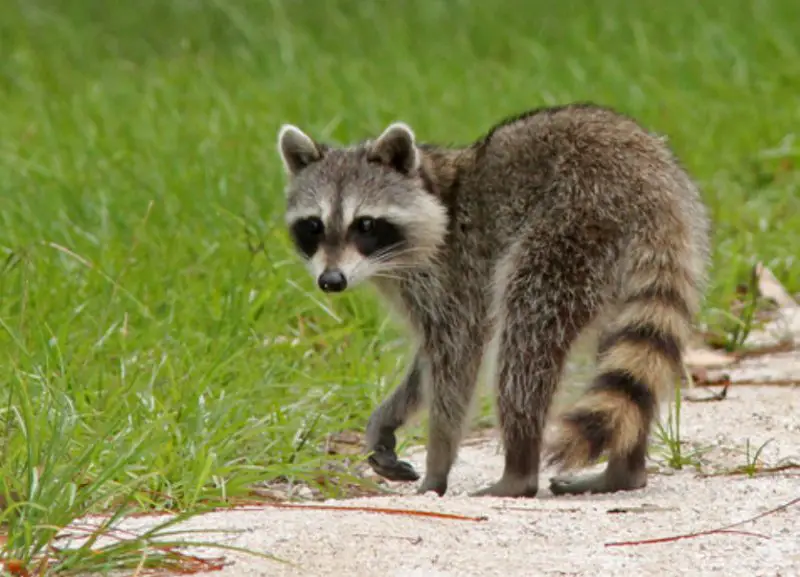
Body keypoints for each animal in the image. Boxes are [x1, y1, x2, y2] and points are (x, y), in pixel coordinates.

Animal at [275, 103, 710, 498]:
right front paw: (388, 417)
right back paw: (625, 470)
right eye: (314, 226)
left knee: (525, 344)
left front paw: (437, 465)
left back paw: (519, 472)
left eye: (364, 224)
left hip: (569, 234)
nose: (331, 281)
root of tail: (653, 187)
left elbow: (456, 359)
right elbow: (427, 365)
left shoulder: (453, 271)